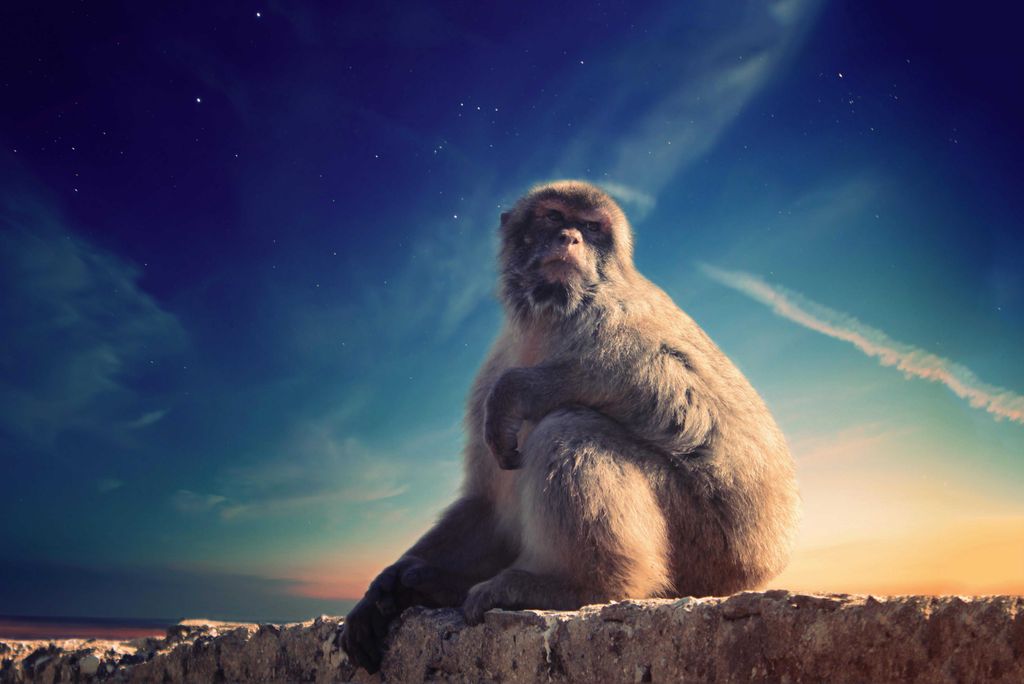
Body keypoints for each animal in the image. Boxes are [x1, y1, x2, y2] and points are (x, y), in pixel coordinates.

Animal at [340, 180, 800, 673]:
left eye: (593, 228)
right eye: (554, 217)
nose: (570, 238)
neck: (548, 317)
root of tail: (760, 564)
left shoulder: (618, 311)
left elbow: (680, 390)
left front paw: (520, 389)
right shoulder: (491, 367)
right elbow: (487, 503)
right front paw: (383, 588)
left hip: (707, 546)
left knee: (568, 426)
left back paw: (579, 585)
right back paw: (438, 584)